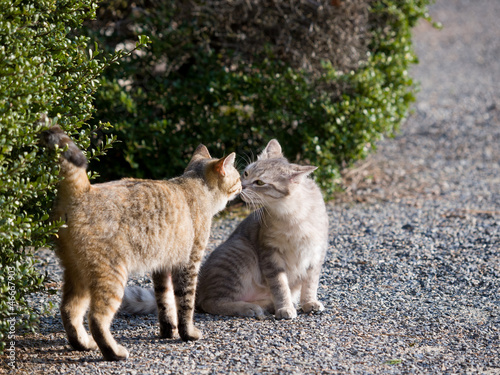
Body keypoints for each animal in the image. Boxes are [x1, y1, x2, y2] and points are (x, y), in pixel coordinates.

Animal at [41, 126, 240, 362]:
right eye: (238, 177)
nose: (243, 185)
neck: (196, 186)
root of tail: (83, 190)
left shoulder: (162, 266)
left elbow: (165, 303)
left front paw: (168, 332)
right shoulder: (189, 263)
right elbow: (185, 303)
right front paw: (188, 334)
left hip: (77, 274)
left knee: (69, 309)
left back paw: (82, 344)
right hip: (111, 276)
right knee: (96, 319)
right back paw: (114, 352)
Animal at [122, 140, 328, 322]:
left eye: (260, 182)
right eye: (246, 173)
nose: (243, 186)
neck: (293, 214)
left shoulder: (317, 253)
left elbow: (310, 284)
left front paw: (309, 302)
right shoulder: (270, 253)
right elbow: (280, 285)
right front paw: (285, 307)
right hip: (241, 251)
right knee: (210, 302)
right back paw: (249, 307)